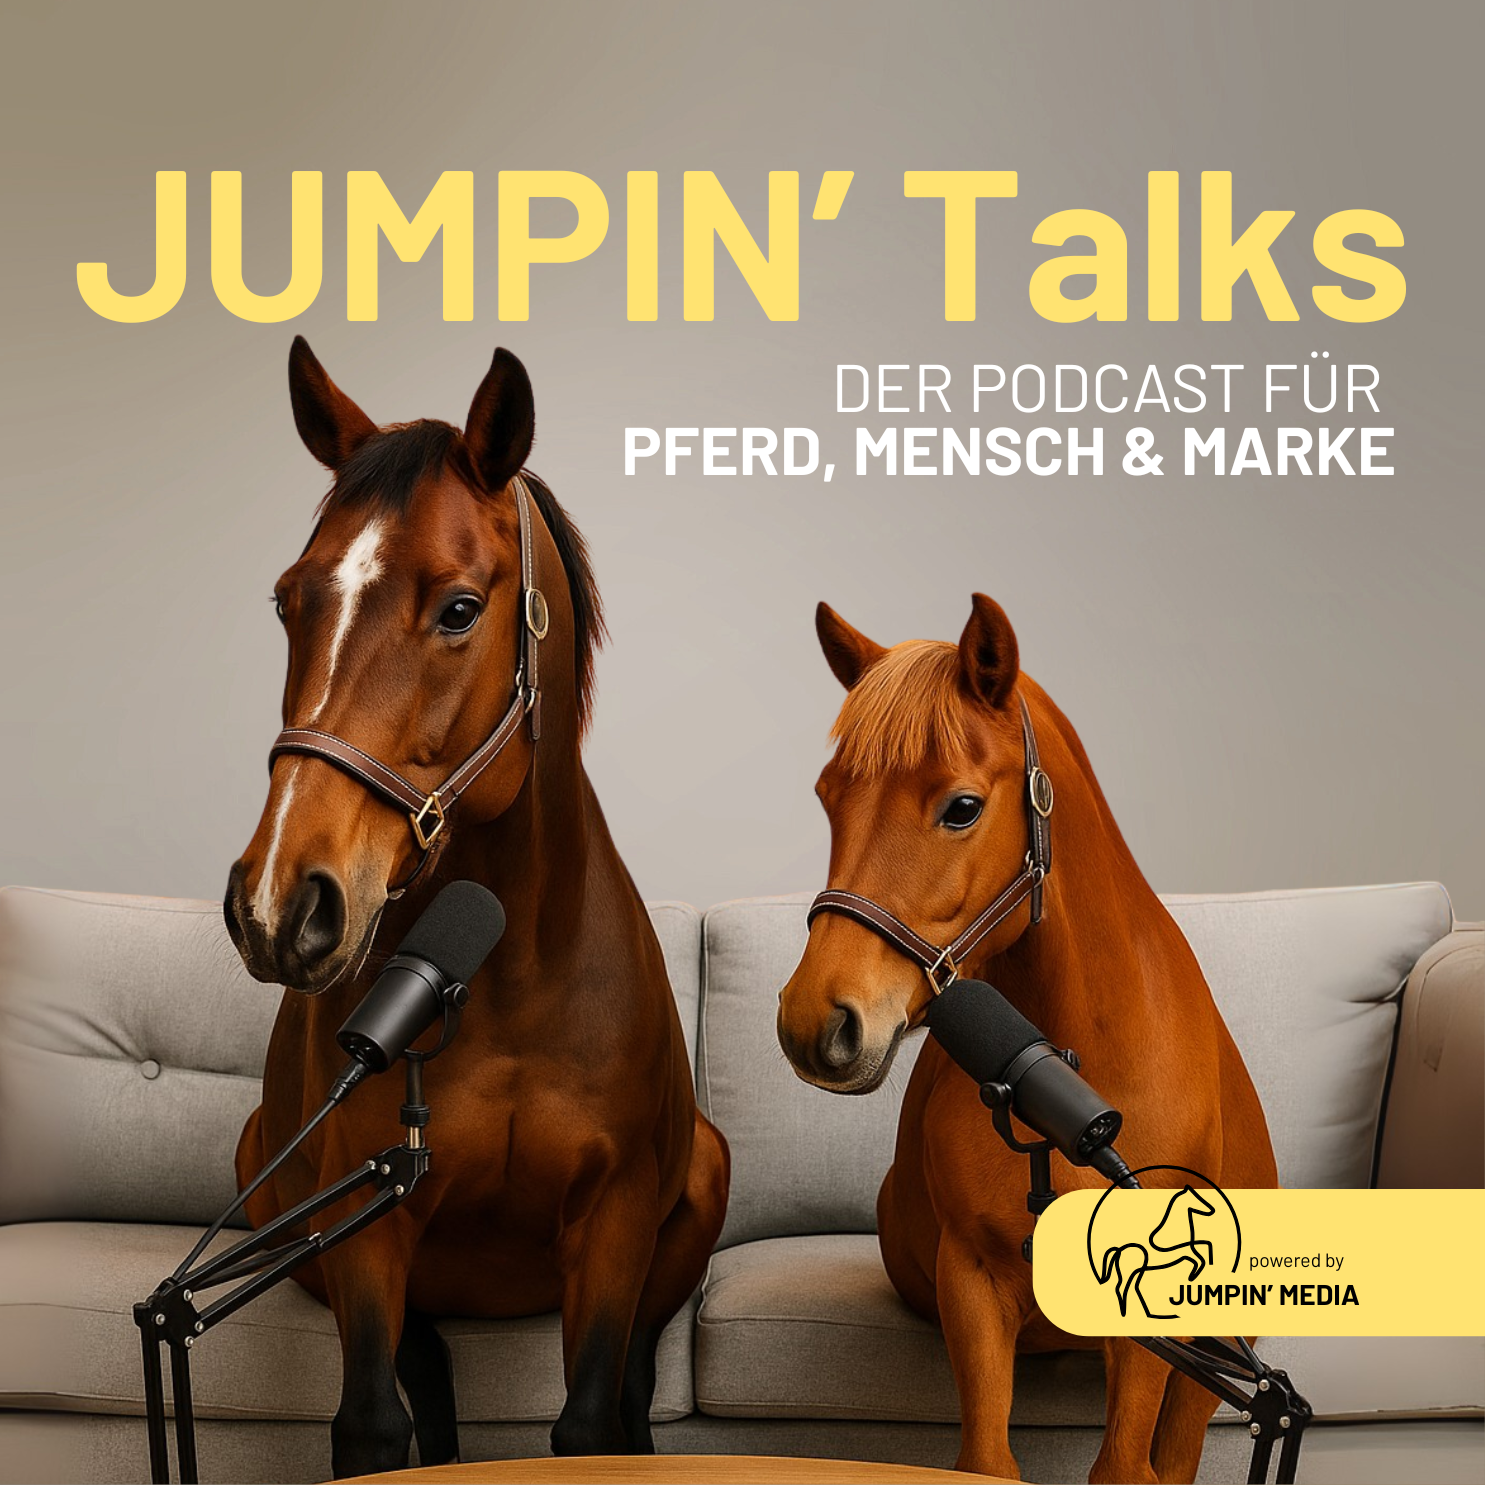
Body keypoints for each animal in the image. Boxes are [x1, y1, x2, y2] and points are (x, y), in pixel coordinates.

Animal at [223, 338, 728, 1477]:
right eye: (286, 600)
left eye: (458, 608)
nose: (281, 900)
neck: (506, 983)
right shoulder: (366, 1218)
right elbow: (375, 1422)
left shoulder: (612, 1221)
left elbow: (591, 1419)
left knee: (638, 1382)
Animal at [776, 594, 1277, 1483]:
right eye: (829, 795)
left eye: (961, 807)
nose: (815, 1021)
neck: (1066, 1066)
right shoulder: (972, 1282)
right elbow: (986, 1456)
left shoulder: (1155, 1328)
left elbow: (1128, 1465)